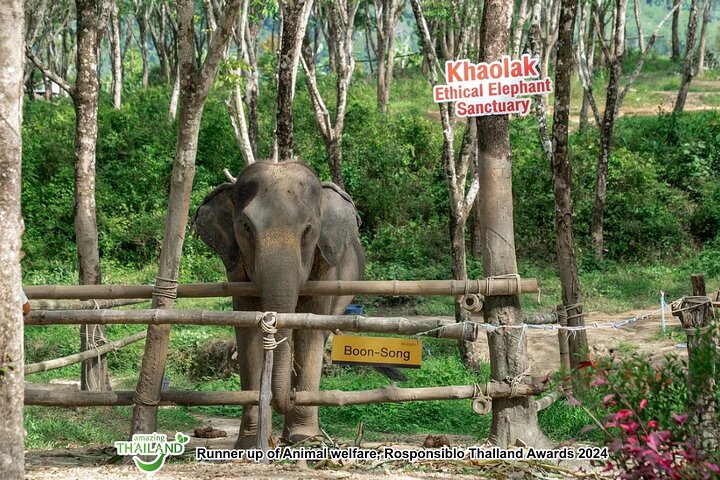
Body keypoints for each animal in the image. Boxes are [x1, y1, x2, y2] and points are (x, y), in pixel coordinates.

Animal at [190, 161, 365, 447]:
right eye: (246, 227)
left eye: (308, 229)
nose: (291, 396)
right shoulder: (235, 272)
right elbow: (247, 330)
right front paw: (251, 443)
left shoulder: (326, 270)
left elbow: (310, 329)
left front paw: (304, 439)